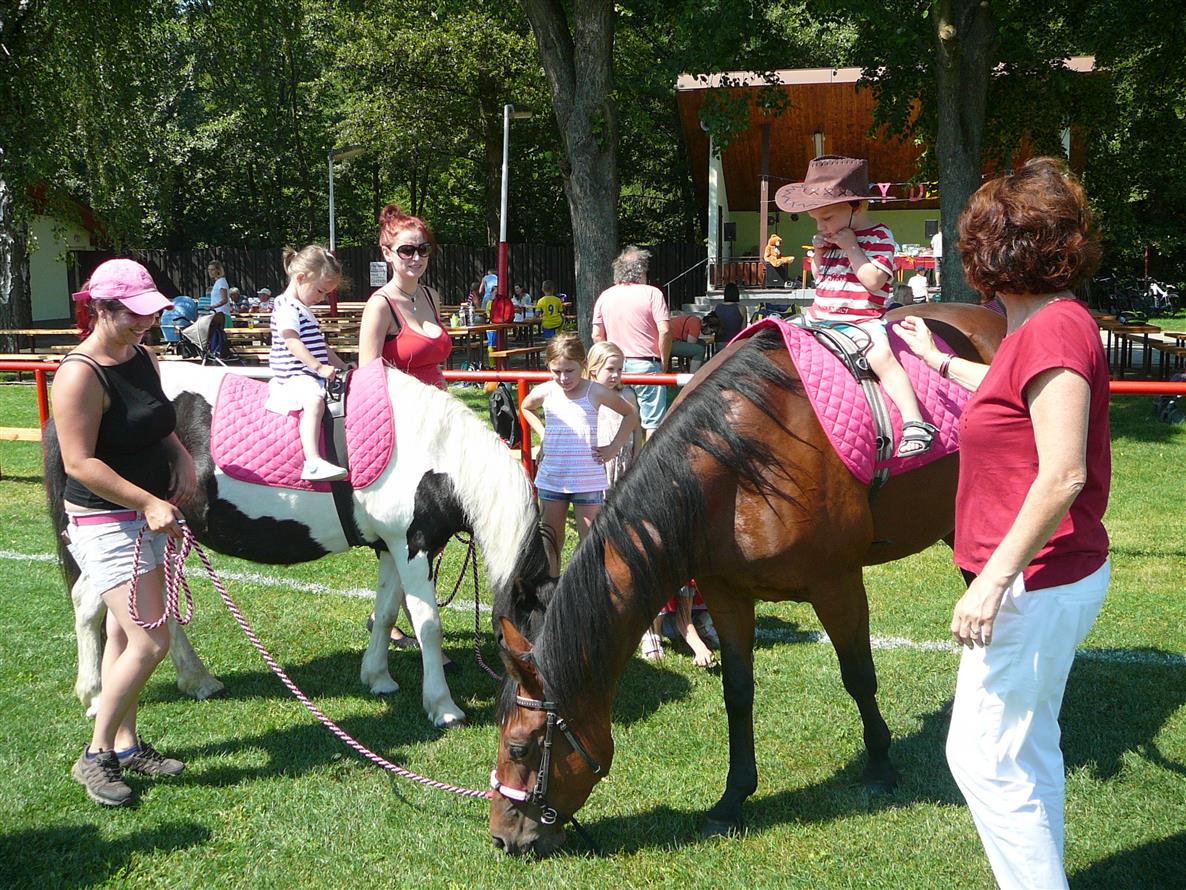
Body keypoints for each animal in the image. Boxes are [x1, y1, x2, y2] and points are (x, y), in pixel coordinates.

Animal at [44, 361, 553, 729]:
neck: (438, 456)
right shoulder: (412, 546)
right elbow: (428, 625)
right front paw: (443, 706)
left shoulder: (390, 547)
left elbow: (387, 609)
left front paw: (377, 677)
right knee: (88, 601)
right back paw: (94, 693)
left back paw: (198, 680)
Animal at [488, 304, 1006, 855]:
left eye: (519, 746)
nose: (501, 836)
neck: (734, 464)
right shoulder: (726, 593)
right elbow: (737, 693)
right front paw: (732, 798)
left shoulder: (838, 585)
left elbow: (859, 675)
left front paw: (881, 766)